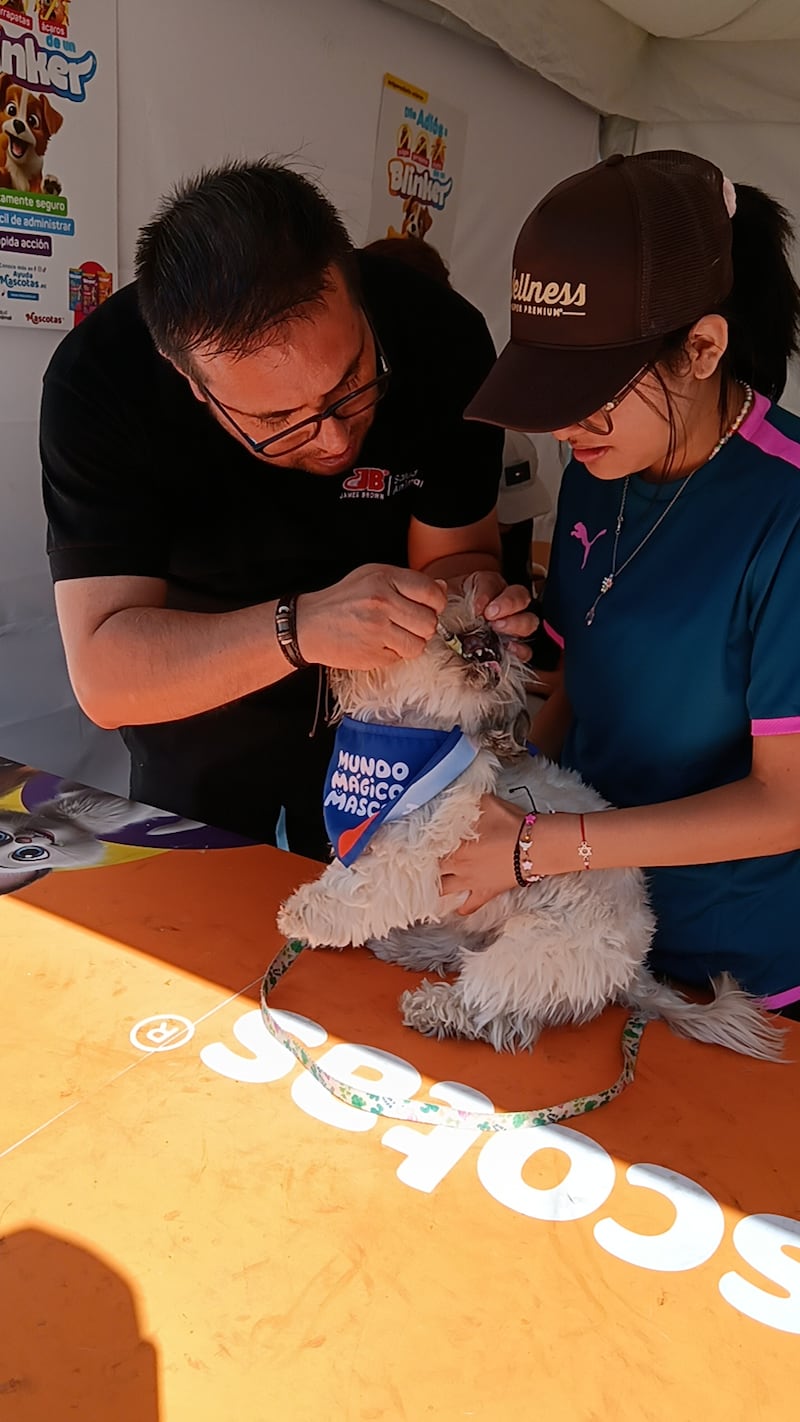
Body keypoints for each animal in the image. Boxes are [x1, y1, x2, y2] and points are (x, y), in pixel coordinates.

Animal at [278, 583, 784, 1063]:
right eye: (450, 596)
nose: (492, 630)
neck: (409, 740)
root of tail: (634, 966)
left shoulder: (421, 846)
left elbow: (363, 885)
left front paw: (304, 913)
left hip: (536, 952)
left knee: (495, 1008)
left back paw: (438, 1008)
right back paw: (411, 946)